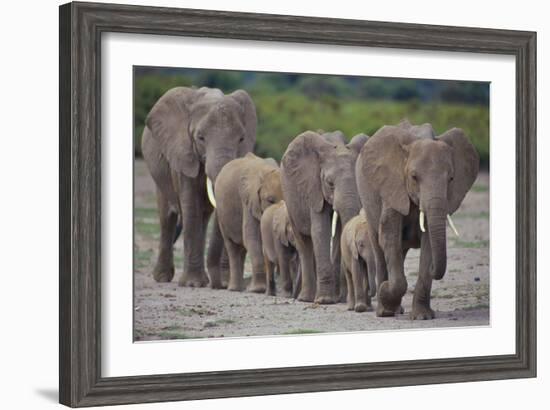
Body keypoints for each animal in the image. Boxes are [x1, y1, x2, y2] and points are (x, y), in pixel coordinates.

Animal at [141, 85, 256, 288]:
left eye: (242, 139)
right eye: (200, 138)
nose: (221, 285)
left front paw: (221, 283)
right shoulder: (183, 153)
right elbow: (190, 206)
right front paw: (193, 284)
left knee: (203, 216)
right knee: (167, 217)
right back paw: (163, 277)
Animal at [216, 153, 284, 292]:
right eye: (270, 200)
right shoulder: (248, 200)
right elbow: (252, 238)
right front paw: (258, 290)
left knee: (241, 248)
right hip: (221, 215)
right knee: (232, 246)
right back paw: (235, 289)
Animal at [282, 130, 368, 302]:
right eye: (329, 183)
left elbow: (339, 232)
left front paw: (339, 299)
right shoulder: (313, 188)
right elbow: (321, 231)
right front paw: (325, 301)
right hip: (290, 200)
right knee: (303, 243)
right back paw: (306, 298)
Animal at [356, 123, 480, 318]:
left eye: (451, 178)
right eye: (414, 177)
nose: (434, 269)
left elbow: (429, 241)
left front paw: (423, 316)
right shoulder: (392, 187)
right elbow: (389, 237)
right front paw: (385, 292)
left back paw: (395, 308)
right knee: (379, 248)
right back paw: (384, 310)